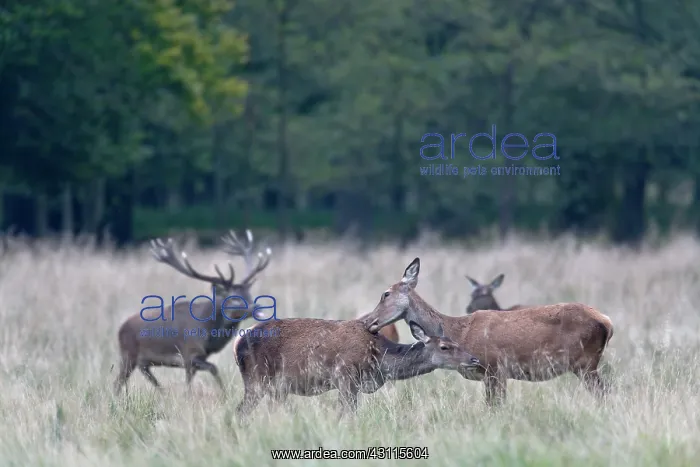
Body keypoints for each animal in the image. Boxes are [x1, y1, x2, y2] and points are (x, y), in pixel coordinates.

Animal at [114, 229, 272, 395]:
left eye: (249, 294)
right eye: (234, 299)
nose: (257, 307)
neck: (208, 335)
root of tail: (120, 329)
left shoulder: (198, 357)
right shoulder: (189, 353)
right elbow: (208, 371)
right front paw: (221, 394)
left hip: (141, 360)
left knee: (145, 373)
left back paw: (163, 393)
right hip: (127, 354)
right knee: (117, 382)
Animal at [232, 318, 482, 419]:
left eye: (456, 342)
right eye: (444, 347)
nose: (474, 359)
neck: (379, 358)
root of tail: (237, 344)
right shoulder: (345, 376)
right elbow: (346, 414)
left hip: (276, 388)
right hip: (256, 377)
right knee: (239, 411)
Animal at [362, 258, 614, 407]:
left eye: (385, 294)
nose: (369, 322)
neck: (459, 331)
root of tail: (607, 323)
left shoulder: (494, 368)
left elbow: (494, 407)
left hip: (585, 363)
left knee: (604, 393)